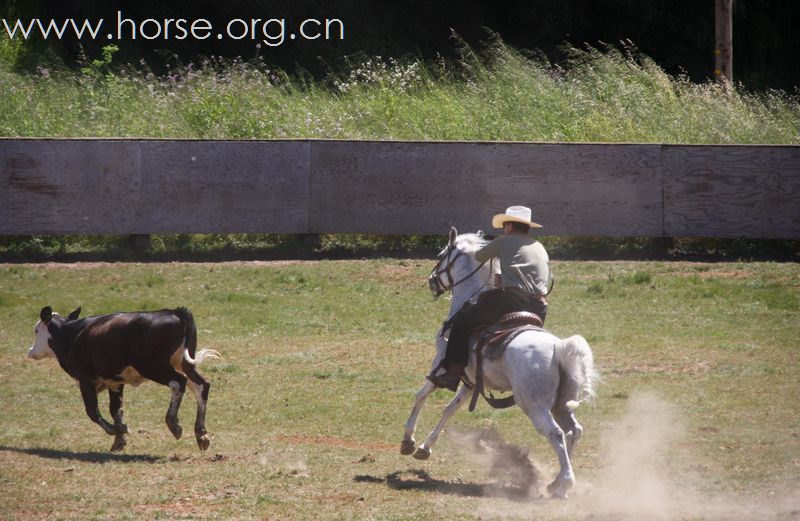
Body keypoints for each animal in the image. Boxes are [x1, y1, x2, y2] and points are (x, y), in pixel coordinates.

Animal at [28, 306, 220, 448]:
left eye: (36, 330)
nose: (30, 351)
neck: (73, 335)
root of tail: (176, 312)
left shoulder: (86, 380)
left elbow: (92, 411)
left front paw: (117, 430)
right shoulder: (115, 382)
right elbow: (116, 410)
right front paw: (119, 439)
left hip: (152, 366)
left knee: (179, 382)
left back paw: (174, 424)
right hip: (183, 363)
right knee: (201, 386)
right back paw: (201, 434)